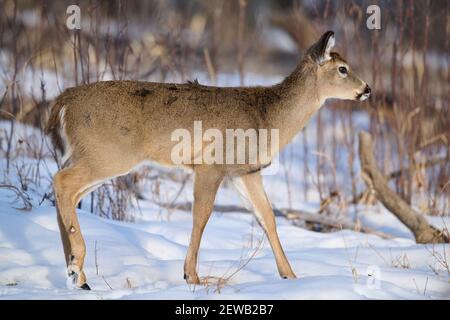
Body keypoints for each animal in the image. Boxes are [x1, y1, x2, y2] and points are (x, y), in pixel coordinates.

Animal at [45, 31, 370, 288]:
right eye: (343, 68)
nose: (367, 89)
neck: (267, 116)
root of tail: (61, 103)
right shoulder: (210, 165)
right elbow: (201, 216)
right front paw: (192, 276)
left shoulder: (244, 172)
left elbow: (267, 217)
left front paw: (290, 276)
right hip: (109, 153)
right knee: (62, 181)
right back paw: (77, 268)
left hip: (92, 155)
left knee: (65, 191)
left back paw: (75, 271)